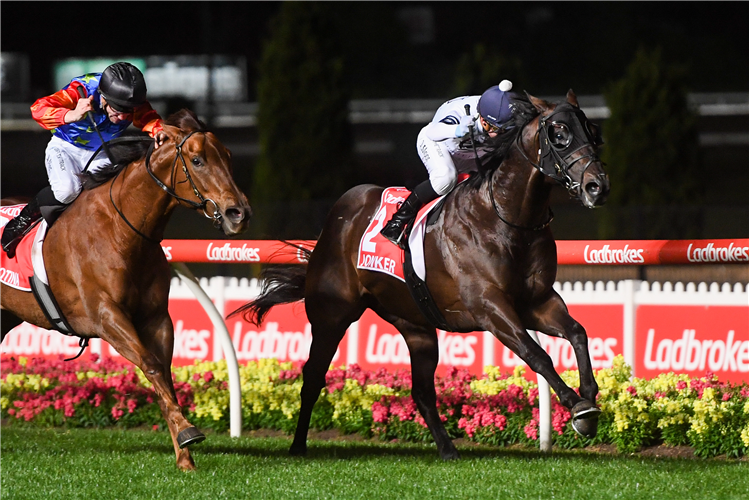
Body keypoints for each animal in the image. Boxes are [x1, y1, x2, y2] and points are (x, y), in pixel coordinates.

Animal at [0, 108, 251, 468]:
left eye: (228, 156)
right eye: (197, 160)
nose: (238, 214)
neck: (122, 230)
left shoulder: (156, 317)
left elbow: (164, 373)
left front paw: (184, 456)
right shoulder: (106, 316)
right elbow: (150, 364)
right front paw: (188, 432)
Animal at [237, 91, 612, 460]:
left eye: (594, 132)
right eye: (559, 134)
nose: (597, 187)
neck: (506, 218)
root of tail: (339, 215)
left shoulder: (537, 301)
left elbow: (577, 332)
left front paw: (589, 395)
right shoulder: (490, 307)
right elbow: (537, 354)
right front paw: (578, 406)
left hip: (416, 326)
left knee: (421, 392)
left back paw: (447, 450)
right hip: (332, 316)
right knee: (313, 377)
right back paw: (298, 445)